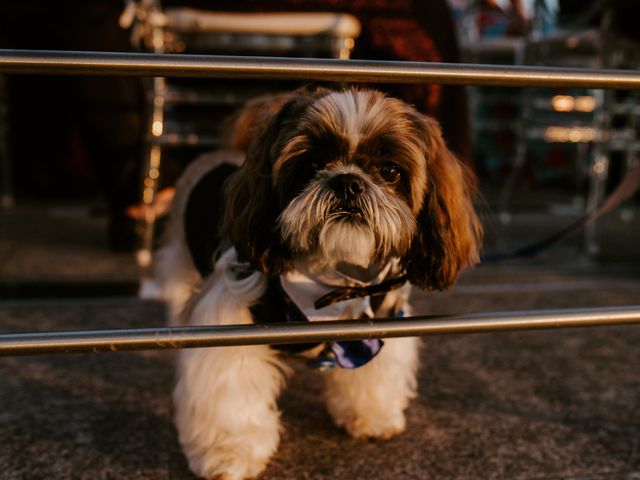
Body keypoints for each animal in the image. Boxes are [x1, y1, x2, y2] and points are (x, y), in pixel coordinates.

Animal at [150, 87, 480, 480]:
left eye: (389, 170)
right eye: (311, 164)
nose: (348, 181)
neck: (334, 279)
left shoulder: (382, 314)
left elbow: (374, 374)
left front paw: (371, 415)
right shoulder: (227, 322)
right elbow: (230, 395)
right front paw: (230, 455)